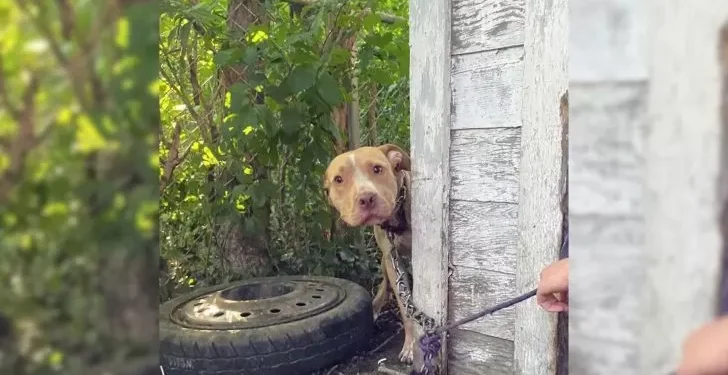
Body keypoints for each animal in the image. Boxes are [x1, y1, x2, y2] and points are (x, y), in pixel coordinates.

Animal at [324, 144, 416, 364]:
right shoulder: (392, 259)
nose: (366, 198)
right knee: (385, 284)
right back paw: (374, 307)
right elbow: (405, 307)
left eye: (377, 169)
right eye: (338, 179)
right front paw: (412, 344)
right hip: (384, 260)